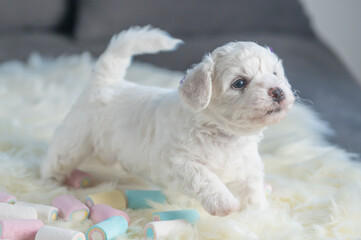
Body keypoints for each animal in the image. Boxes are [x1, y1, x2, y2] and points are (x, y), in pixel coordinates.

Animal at [40, 25, 294, 216]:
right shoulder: (178, 162)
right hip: (74, 140)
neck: (224, 134)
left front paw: (259, 213)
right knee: (57, 158)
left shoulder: (249, 165)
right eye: (239, 83)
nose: (278, 92)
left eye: (275, 74)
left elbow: (253, 189)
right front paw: (225, 203)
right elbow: (206, 177)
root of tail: (106, 82)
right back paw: (50, 182)